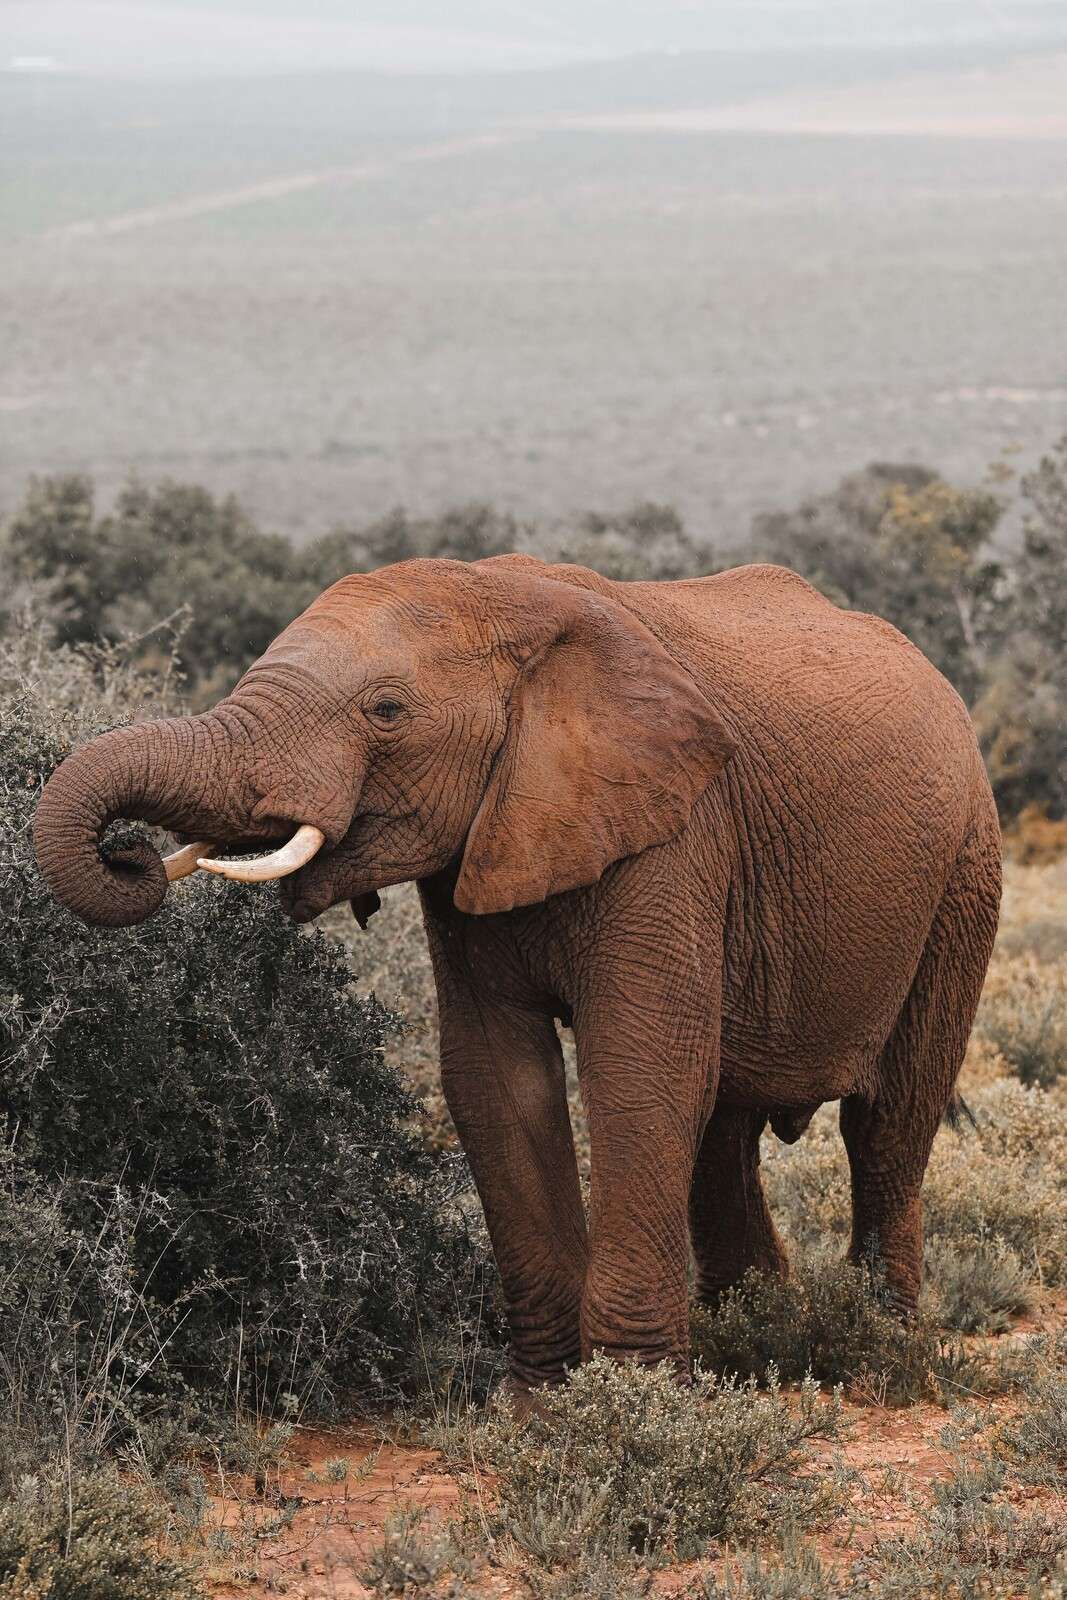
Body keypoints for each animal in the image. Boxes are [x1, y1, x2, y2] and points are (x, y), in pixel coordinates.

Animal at [33, 555, 1001, 1392]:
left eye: (387, 710)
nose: (129, 851)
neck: (503, 603)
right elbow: (495, 1078)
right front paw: (545, 1403)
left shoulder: (675, 832)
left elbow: (638, 1073)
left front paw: (632, 1410)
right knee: (724, 1128)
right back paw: (755, 1328)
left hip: (963, 871)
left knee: (888, 1118)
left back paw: (877, 1343)